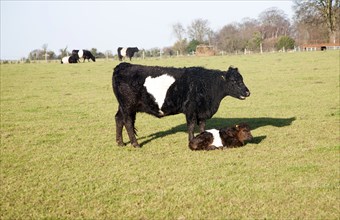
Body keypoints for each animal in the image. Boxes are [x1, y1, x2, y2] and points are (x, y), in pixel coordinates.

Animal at [111, 62, 250, 148]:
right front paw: (192, 140)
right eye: (234, 81)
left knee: (118, 119)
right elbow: (191, 126)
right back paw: (135, 144)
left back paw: (120, 143)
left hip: (122, 106)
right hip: (128, 106)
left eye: (242, 79)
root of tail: (123, 65)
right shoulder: (190, 109)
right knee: (128, 123)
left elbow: (202, 126)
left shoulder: (202, 111)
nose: (248, 92)